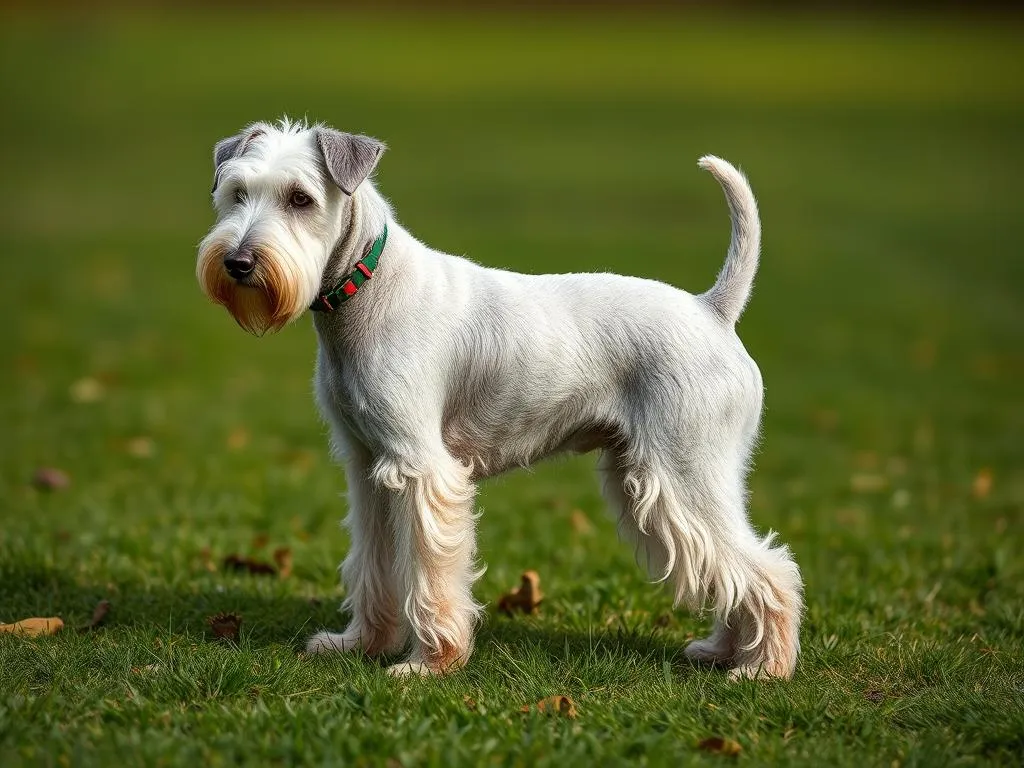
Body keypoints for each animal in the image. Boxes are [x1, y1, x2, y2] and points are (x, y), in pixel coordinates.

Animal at [195, 117, 802, 684]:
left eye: (300, 198)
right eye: (237, 192)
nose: (239, 263)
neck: (364, 290)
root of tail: (713, 309)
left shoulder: (422, 471)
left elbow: (431, 576)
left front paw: (428, 665)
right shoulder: (367, 466)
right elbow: (372, 565)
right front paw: (359, 644)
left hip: (682, 475)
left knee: (767, 569)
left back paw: (763, 669)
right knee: (731, 570)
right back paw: (722, 652)